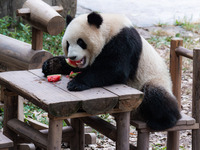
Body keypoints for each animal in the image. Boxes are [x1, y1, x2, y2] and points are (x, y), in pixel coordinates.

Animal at [42, 11, 181, 130]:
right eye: (67, 43)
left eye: (80, 42)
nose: (72, 57)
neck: (109, 28)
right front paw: (50, 65)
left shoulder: (123, 41)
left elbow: (114, 69)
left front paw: (75, 83)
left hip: (153, 81)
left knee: (155, 93)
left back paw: (164, 121)